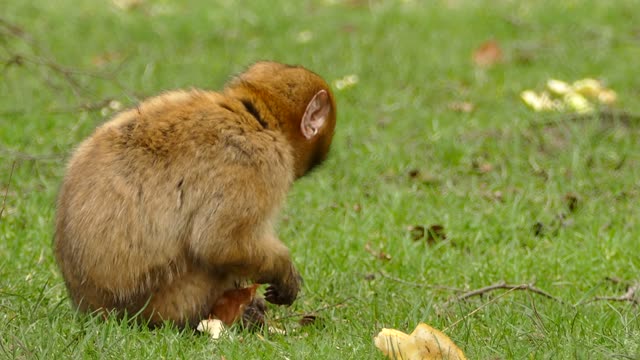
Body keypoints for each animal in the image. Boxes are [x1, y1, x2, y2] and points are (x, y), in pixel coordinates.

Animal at [53, 62, 340, 330]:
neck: (254, 116)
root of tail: (91, 308)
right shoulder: (258, 162)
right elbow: (219, 243)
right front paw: (284, 271)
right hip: (170, 301)